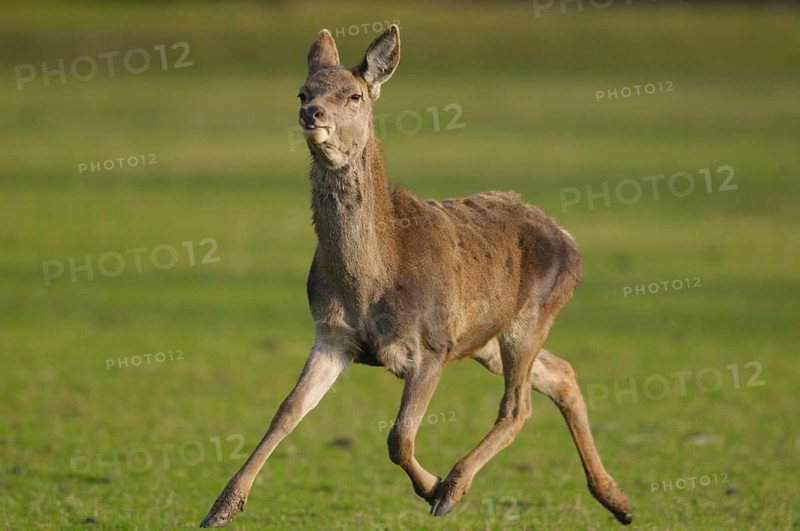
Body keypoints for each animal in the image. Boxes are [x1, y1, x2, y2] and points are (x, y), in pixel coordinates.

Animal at [200, 25, 633, 528]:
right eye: (303, 92)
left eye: (354, 96)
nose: (312, 114)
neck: (370, 283)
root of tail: (570, 242)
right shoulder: (331, 336)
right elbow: (285, 412)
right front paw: (221, 507)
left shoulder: (432, 342)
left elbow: (399, 436)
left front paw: (433, 488)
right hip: (486, 338)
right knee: (561, 374)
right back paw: (618, 500)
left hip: (531, 316)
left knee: (517, 406)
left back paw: (456, 487)